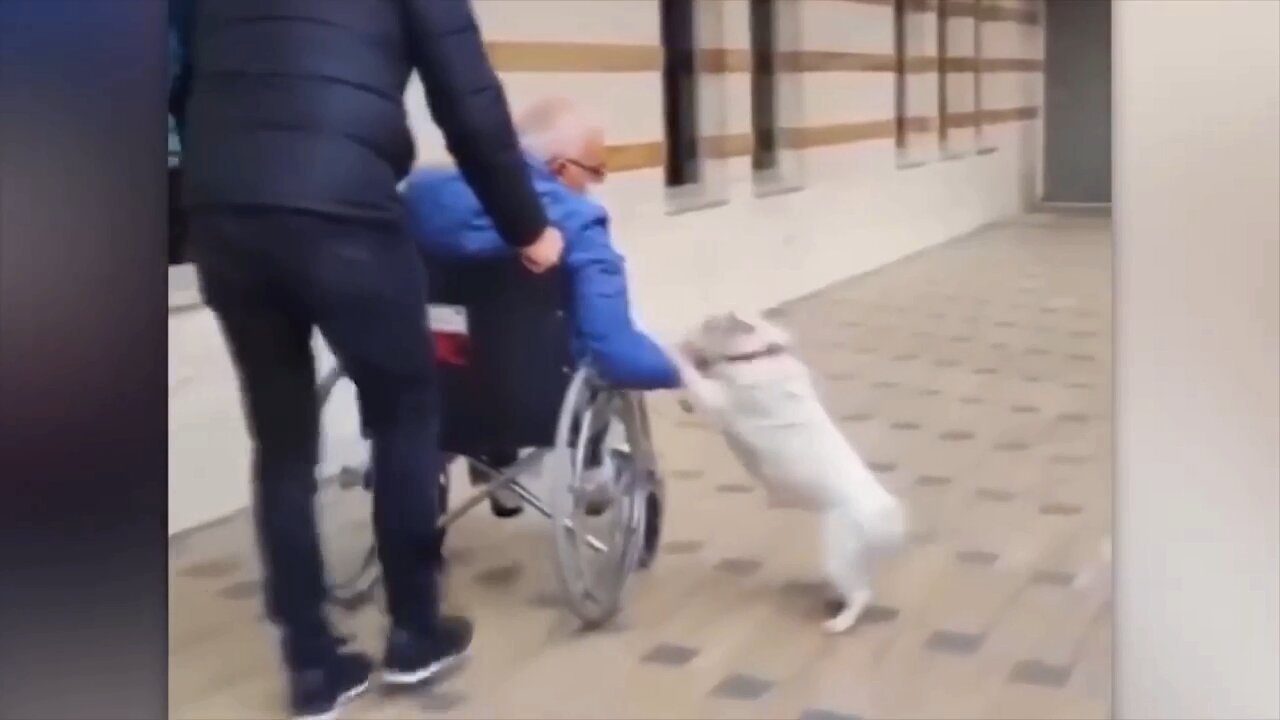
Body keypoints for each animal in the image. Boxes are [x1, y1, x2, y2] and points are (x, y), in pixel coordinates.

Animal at [670, 308, 911, 627]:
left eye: (710, 323)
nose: (685, 334)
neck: (759, 354)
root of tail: (888, 516)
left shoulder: (720, 401)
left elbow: (694, 378)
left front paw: (672, 350)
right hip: (858, 559)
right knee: (862, 584)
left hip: (840, 553)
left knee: (861, 594)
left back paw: (839, 623)